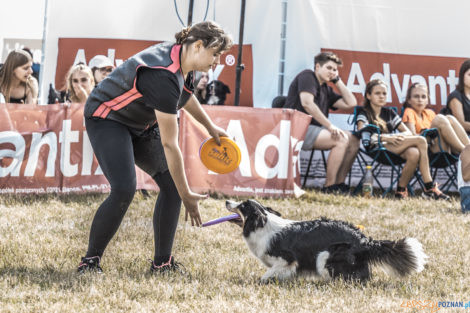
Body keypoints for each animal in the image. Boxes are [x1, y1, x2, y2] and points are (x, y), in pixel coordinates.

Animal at [226, 200, 428, 282]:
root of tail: (364, 240)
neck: (263, 224)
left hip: (324, 256)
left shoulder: (287, 259)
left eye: (242, 205)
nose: (227, 201)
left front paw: (261, 281)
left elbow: (268, 274)